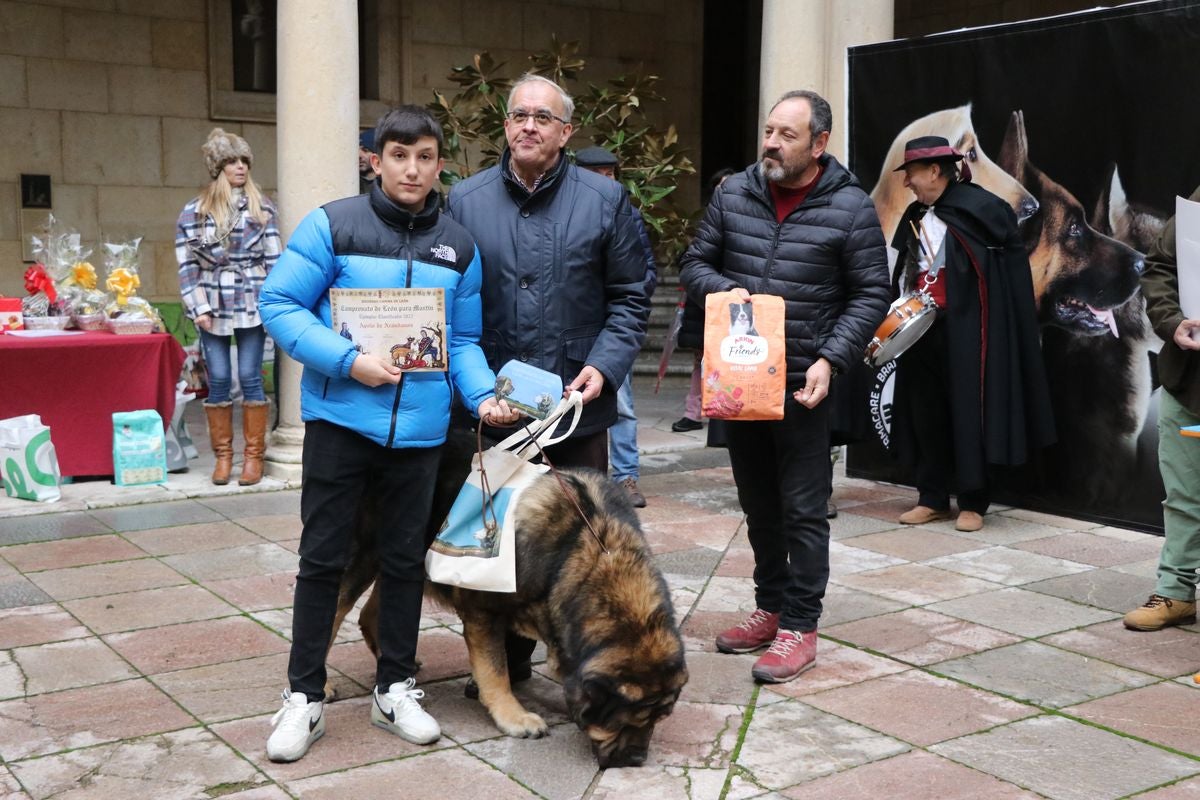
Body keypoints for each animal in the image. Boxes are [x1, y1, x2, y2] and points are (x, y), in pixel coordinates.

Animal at [333, 424, 691, 767]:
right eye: (626, 720)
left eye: (658, 720)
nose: (637, 759)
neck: (588, 551)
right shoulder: (483, 612)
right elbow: (495, 669)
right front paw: (513, 716)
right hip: (363, 555)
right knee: (335, 613)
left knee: (372, 614)